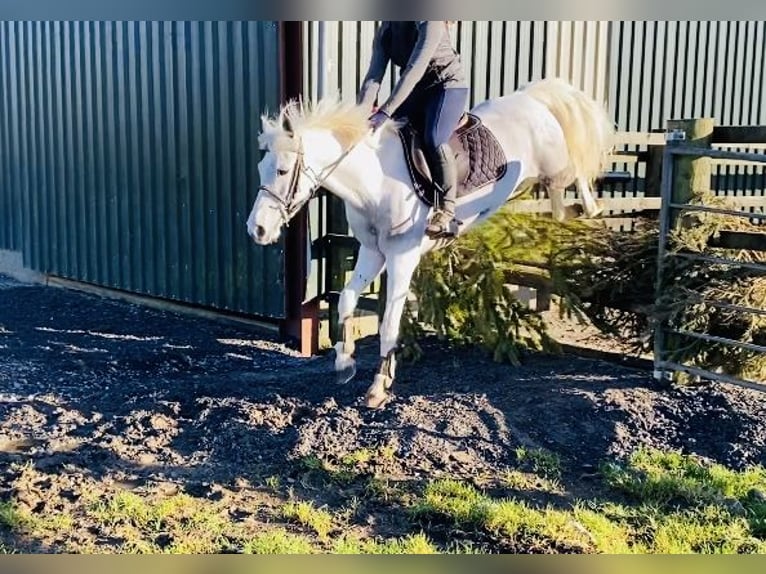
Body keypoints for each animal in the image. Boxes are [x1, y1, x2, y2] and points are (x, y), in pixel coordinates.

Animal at [249, 77, 616, 410]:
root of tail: (530, 96)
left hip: (555, 164)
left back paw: (589, 208)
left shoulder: (401, 256)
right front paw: (345, 362)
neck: (372, 181)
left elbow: (389, 322)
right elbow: (347, 300)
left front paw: (378, 387)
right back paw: (571, 212)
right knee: (558, 203)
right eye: (261, 168)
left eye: (282, 171)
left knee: (575, 174)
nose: (257, 230)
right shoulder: (372, 252)